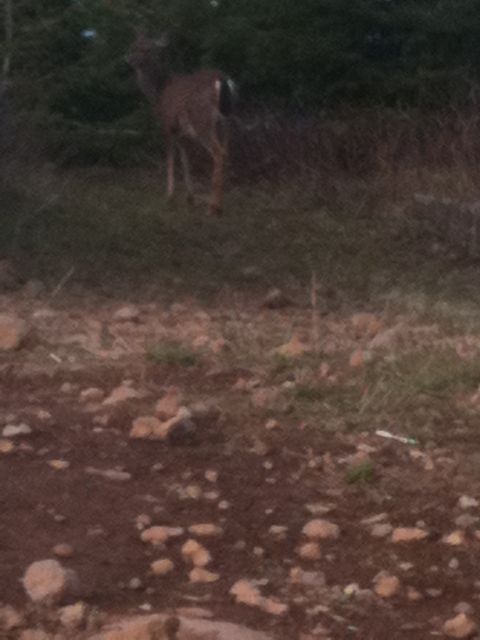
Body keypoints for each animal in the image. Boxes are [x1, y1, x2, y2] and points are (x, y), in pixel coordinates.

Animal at [126, 33, 235, 216]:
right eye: (133, 46)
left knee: (218, 153)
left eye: (147, 49)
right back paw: (219, 204)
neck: (158, 93)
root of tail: (220, 79)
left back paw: (213, 207)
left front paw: (169, 196)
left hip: (202, 120)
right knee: (226, 152)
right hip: (226, 121)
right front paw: (190, 198)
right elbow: (185, 159)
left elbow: (170, 159)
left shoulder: (168, 125)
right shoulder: (183, 134)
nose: (130, 59)